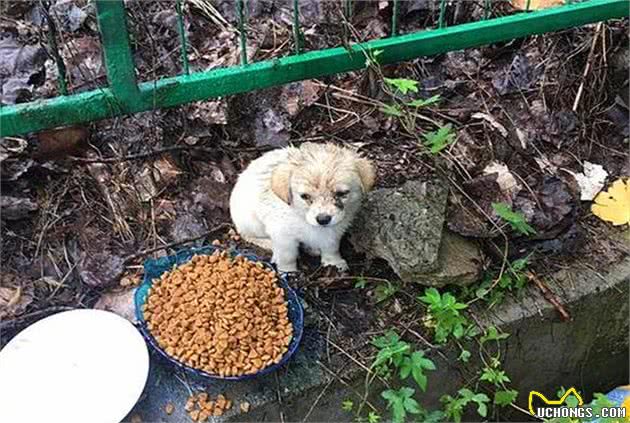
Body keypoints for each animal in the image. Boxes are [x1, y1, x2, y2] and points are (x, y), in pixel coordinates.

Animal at [231, 142, 376, 274]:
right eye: (305, 196)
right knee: (247, 235)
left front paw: (334, 263)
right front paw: (288, 272)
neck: (302, 217)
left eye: (341, 193)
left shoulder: (334, 231)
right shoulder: (283, 235)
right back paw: (268, 244)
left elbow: (331, 248)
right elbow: (287, 256)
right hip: (251, 222)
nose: (323, 219)